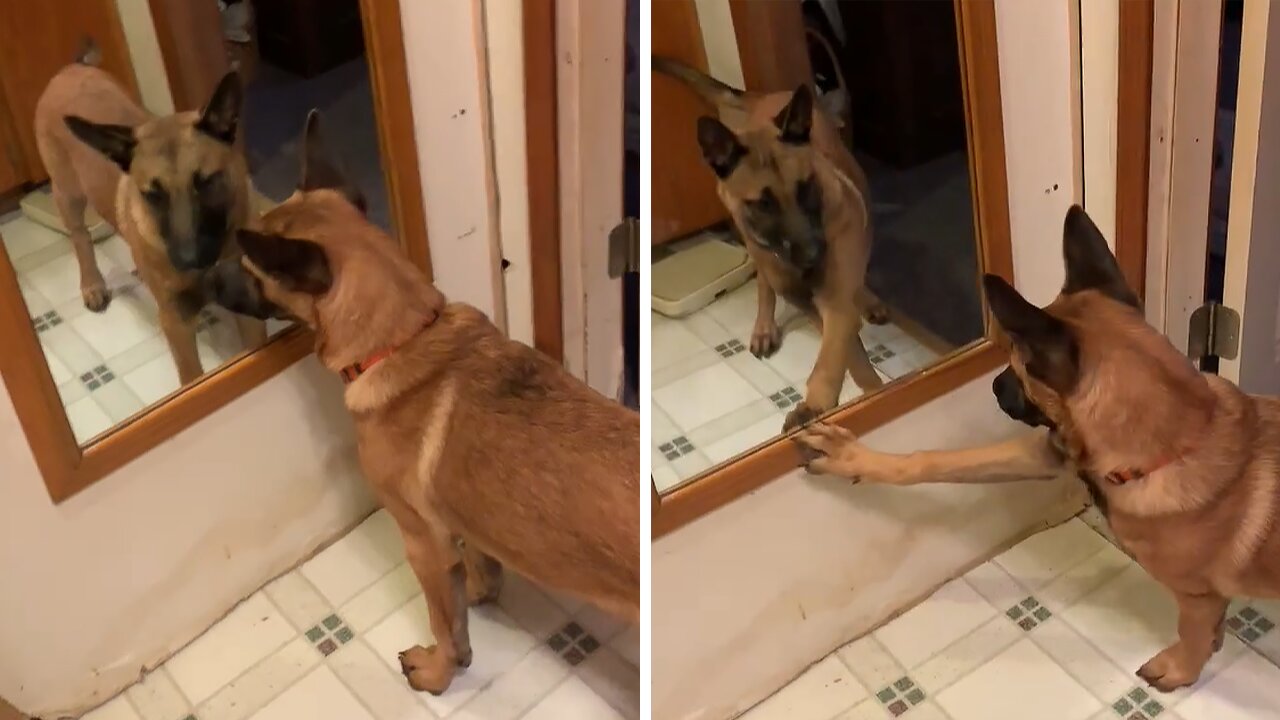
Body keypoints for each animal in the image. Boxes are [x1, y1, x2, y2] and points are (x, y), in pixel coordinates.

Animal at [34, 49, 262, 381]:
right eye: (153, 195)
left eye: (206, 182)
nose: (189, 260)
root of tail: (70, 69)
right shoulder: (177, 324)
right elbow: (193, 376)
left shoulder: (246, 310)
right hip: (68, 193)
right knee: (80, 237)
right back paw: (92, 283)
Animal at [208, 113, 640, 696]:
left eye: (250, 265)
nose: (202, 279)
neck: (402, 335)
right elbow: (476, 565)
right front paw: (480, 590)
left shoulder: (420, 543)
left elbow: (442, 621)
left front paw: (439, 671)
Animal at [655, 58, 885, 427]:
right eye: (763, 203)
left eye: (806, 186)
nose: (814, 255)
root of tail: (760, 98)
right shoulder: (813, 304)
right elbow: (850, 354)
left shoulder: (834, 299)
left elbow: (837, 350)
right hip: (751, 243)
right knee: (764, 281)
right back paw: (764, 325)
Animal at [793, 203, 1280, 691]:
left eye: (1019, 362)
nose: (992, 386)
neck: (1177, 441)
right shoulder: (1049, 452)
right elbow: (935, 460)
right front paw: (851, 458)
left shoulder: (1197, 596)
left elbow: (1191, 630)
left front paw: (1180, 668)